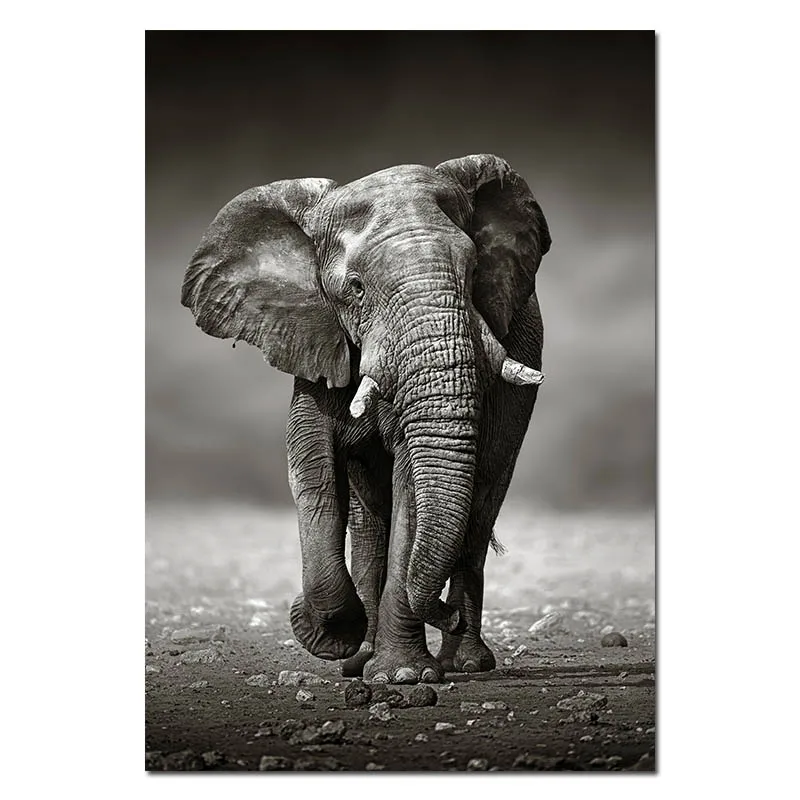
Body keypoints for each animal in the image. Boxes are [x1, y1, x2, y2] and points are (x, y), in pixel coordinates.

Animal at [181, 154, 551, 684]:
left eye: (475, 271)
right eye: (355, 289)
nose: (445, 614)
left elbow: (411, 485)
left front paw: (403, 676)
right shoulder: (316, 338)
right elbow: (311, 467)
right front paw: (333, 636)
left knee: (480, 506)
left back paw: (464, 663)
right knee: (370, 523)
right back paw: (362, 659)